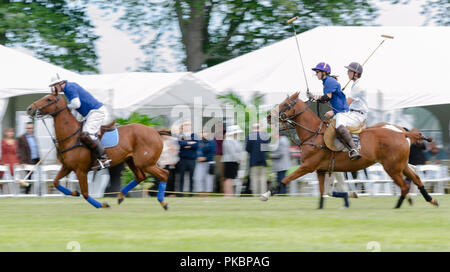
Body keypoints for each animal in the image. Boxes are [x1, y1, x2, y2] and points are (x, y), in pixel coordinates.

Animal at [27, 92, 170, 209]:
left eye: (49, 99)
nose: (30, 108)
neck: (71, 137)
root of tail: (155, 131)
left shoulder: (81, 170)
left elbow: (85, 193)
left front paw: (102, 205)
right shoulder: (67, 167)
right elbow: (56, 182)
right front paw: (74, 192)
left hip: (145, 163)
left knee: (164, 174)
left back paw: (163, 202)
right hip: (131, 160)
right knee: (141, 176)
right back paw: (120, 196)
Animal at [264, 92, 440, 209]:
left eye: (286, 104)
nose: (268, 116)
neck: (314, 133)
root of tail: (402, 132)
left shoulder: (308, 166)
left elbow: (286, 178)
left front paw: (265, 195)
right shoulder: (322, 169)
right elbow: (324, 191)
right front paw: (324, 205)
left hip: (392, 167)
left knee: (404, 185)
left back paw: (398, 206)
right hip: (401, 165)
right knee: (416, 178)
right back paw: (431, 200)